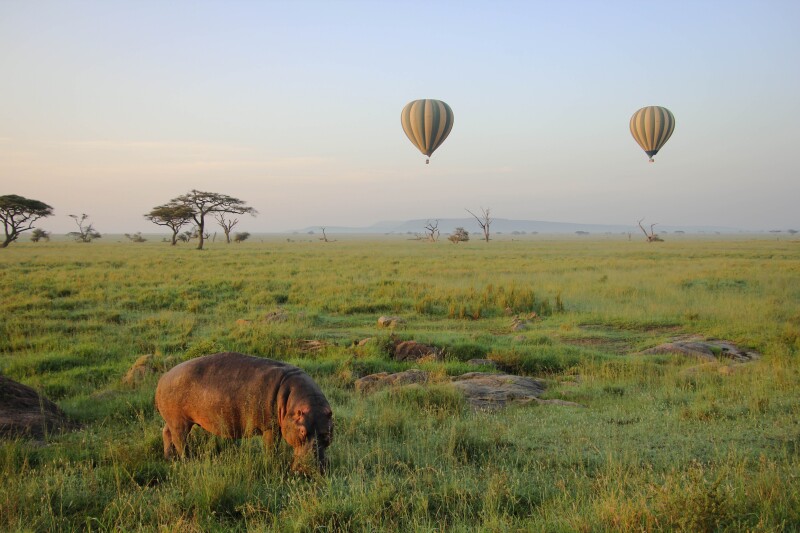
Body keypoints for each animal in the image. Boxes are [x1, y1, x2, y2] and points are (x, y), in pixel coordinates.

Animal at [154, 352, 333, 473]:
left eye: (327, 433)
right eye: (302, 431)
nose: (310, 470)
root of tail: (163, 377)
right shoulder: (270, 427)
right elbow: (270, 448)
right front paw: (270, 463)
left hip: (173, 420)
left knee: (166, 432)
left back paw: (168, 458)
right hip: (180, 422)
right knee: (180, 440)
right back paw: (187, 460)